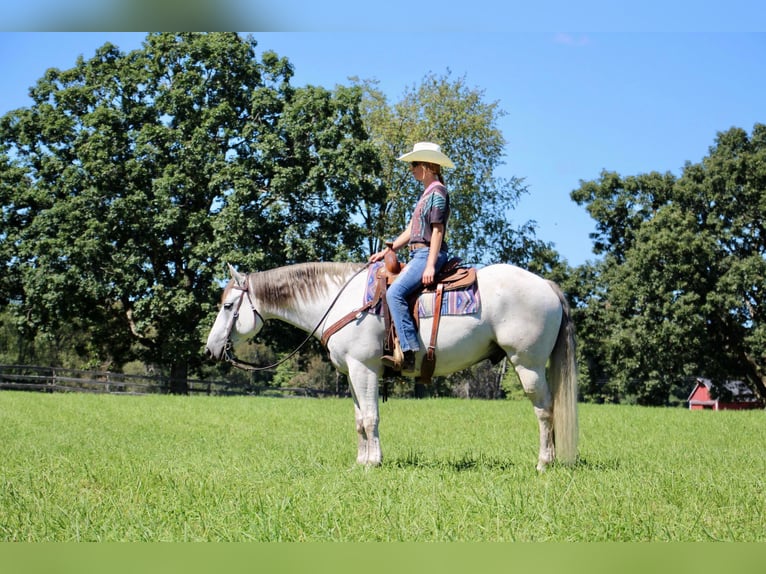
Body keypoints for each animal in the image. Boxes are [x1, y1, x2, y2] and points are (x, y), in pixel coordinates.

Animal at [207, 264, 580, 470]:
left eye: (227, 306)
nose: (211, 348)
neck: (342, 302)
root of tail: (546, 285)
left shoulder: (365, 369)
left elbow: (372, 417)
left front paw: (374, 462)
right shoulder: (352, 374)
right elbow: (360, 421)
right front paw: (361, 461)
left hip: (528, 364)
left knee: (544, 411)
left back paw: (543, 463)